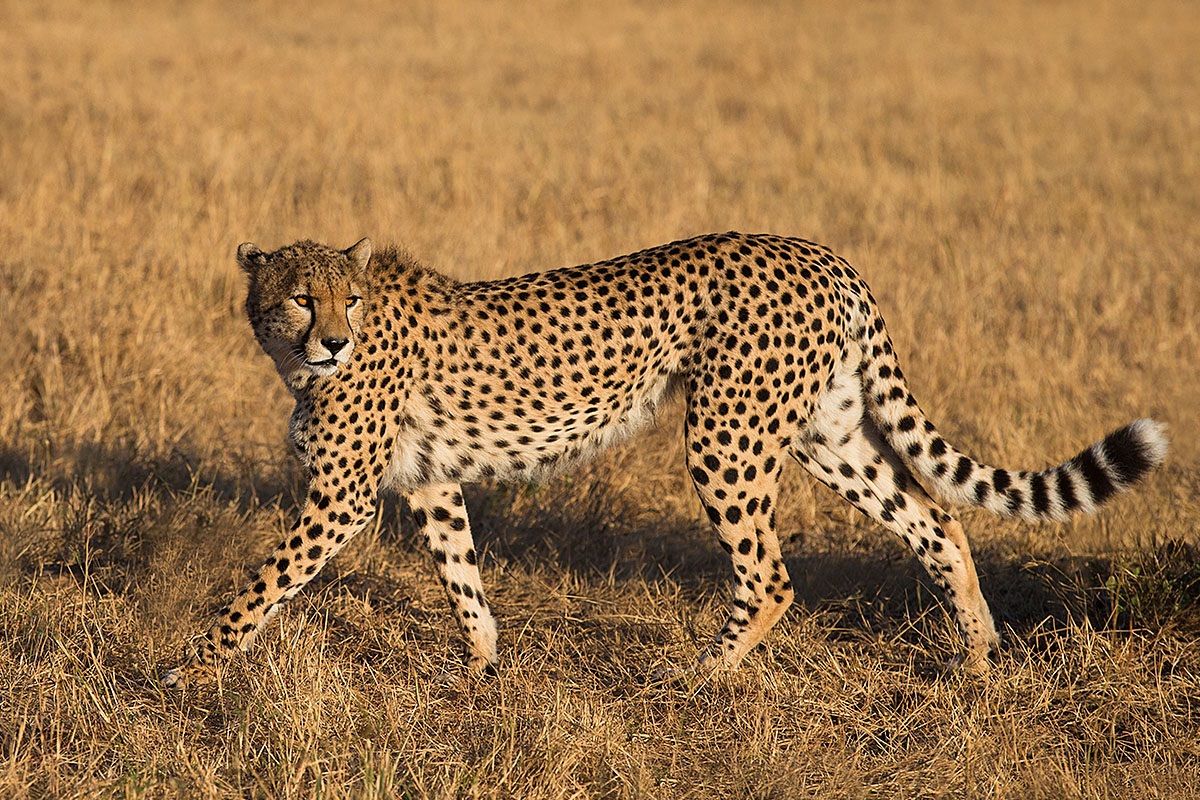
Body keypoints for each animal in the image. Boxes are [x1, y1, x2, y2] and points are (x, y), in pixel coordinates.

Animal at [161, 232, 1168, 688]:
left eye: (347, 299)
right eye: (300, 295)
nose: (331, 342)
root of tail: (821, 252)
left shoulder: (339, 496)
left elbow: (260, 583)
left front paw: (189, 668)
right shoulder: (433, 482)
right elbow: (461, 578)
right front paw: (483, 669)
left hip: (726, 435)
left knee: (771, 574)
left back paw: (701, 676)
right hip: (826, 434)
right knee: (936, 517)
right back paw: (979, 656)